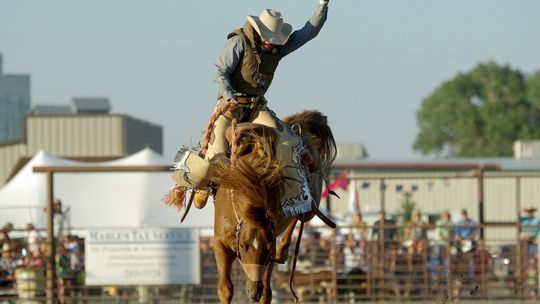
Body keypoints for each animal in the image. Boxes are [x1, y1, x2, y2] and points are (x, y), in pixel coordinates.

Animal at [210, 110, 334, 304]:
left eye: (267, 249)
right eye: (243, 246)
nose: (253, 292)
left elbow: (267, 293)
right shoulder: (219, 244)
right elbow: (225, 289)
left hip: (311, 206)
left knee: (301, 214)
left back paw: (283, 251)